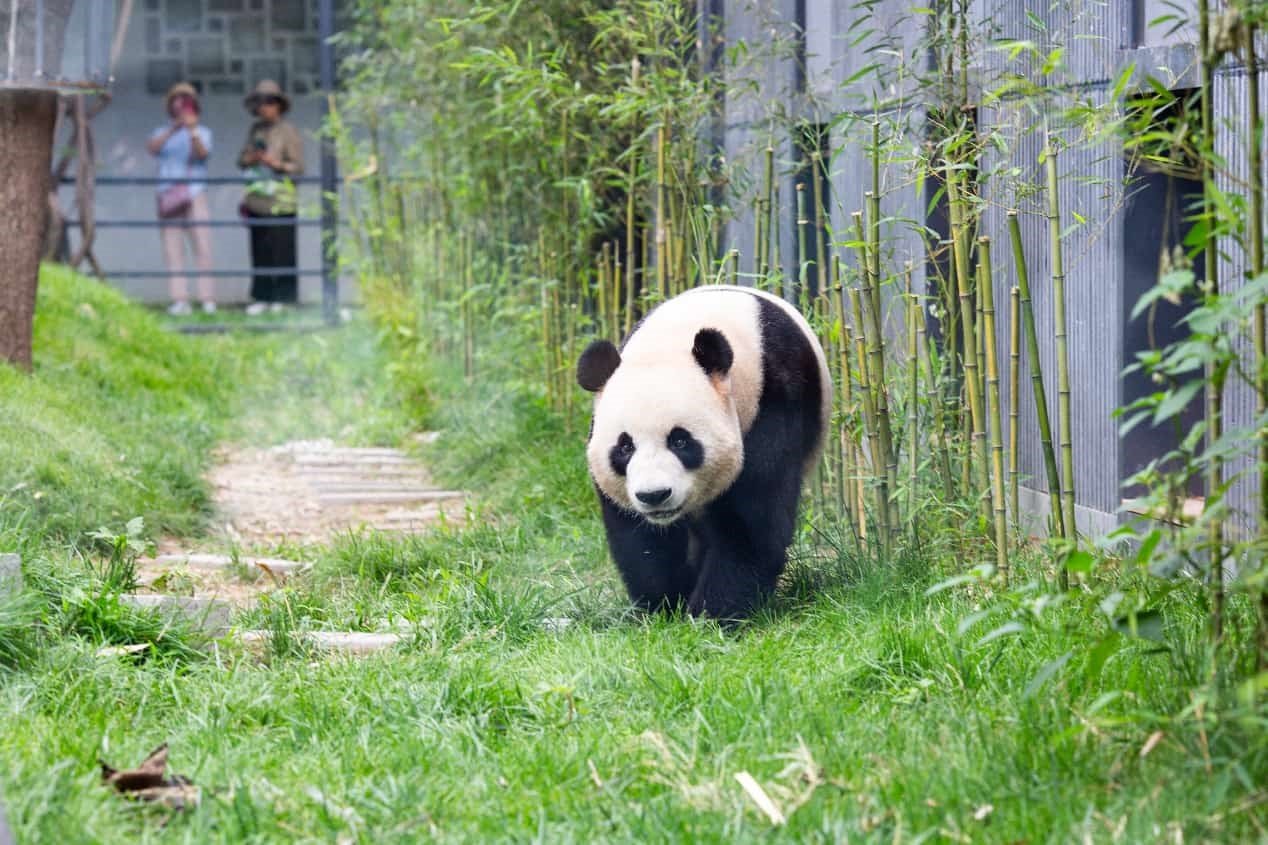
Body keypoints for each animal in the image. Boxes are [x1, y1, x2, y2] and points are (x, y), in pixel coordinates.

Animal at [576, 285, 833, 621]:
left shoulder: (774, 398)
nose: (654, 495)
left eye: (680, 441)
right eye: (625, 447)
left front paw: (711, 614)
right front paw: (664, 606)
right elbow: (642, 538)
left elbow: (751, 521)